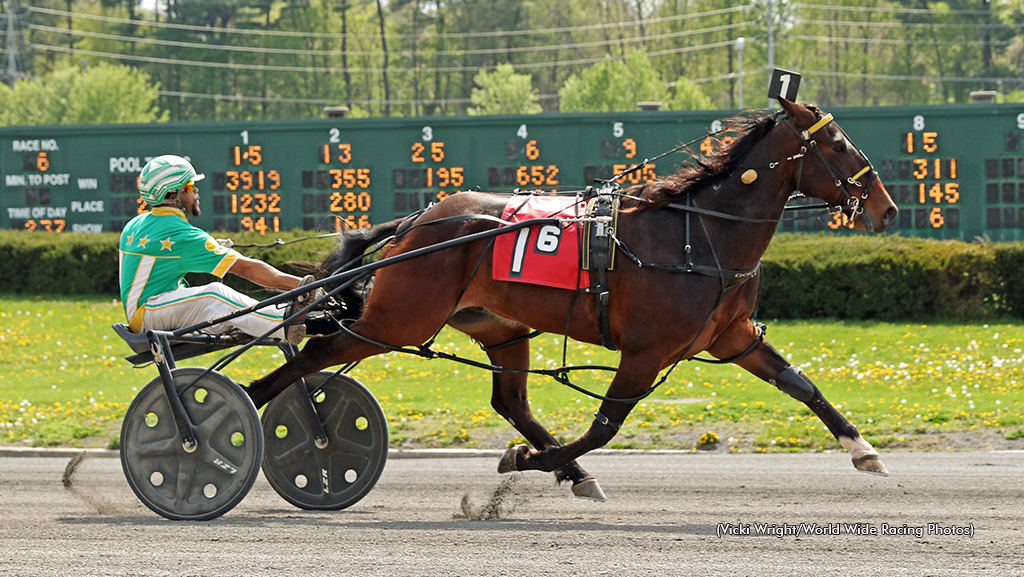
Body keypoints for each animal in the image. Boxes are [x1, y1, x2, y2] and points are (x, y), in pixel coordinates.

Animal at [251, 99, 901, 502]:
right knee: (308, 359)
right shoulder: (646, 351)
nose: (887, 208)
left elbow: (801, 385)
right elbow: (604, 427)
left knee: (510, 401)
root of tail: (418, 220)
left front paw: (864, 449)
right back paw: (250, 417)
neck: (698, 235)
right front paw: (523, 463)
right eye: (837, 144)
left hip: (498, 327)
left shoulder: (733, 336)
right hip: (397, 321)